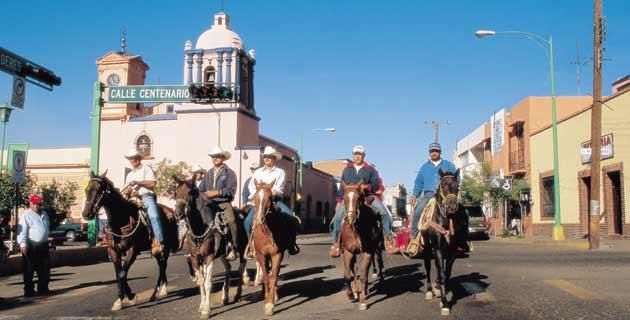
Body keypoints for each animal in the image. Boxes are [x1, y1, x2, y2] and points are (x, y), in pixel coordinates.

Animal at [81, 172, 179, 310]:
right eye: (87, 189)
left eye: (99, 190)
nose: (86, 213)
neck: (122, 219)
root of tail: (170, 212)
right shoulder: (113, 250)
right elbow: (119, 274)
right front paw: (121, 300)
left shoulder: (134, 250)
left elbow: (123, 273)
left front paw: (131, 297)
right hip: (157, 251)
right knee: (162, 265)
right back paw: (163, 289)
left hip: (163, 247)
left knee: (163, 265)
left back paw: (155, 294)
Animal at [175, 178, 252, 318]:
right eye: (176, 192)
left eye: (189, 192)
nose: (178, 214)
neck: (200, 229)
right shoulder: (195, 259)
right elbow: (201, 282)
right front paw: (202, 306)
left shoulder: (209, 257)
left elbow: (207, 283)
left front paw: (206, 310)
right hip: (222, 254)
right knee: (228, 268)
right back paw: (225, 297)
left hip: (242, 249)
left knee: (240, 268)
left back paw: (237, 294)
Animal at [249, 180, 294, 316]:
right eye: (255, 197)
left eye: (270, 198)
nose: (259, 219)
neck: (267, 231)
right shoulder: (261, 255)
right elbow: (266, 277)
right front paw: (266, 300)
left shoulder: (277, 254)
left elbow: (273, 276)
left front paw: (270, 304)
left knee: (275, 273)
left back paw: (275, 294)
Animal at [340, 182, 380, 310]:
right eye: (344, 198)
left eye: (358, 198)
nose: (351, 218)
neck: (355, 229)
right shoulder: (348, 252)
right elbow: (348, 275)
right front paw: (351, 294)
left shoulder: (366, 252)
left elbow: (363, 276)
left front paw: (362, 301)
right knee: (354, 270)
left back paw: (364, 292)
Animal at [424, 169, 464, 316]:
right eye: (443, 185)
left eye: (457, 186)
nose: (452, 206)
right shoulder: (438, 249)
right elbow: (441, 273)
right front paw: (445, 303)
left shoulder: (452, 250)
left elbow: (446, 272)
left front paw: (444, 294)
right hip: (427, 249)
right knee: (428, 267)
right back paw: (430, 291)